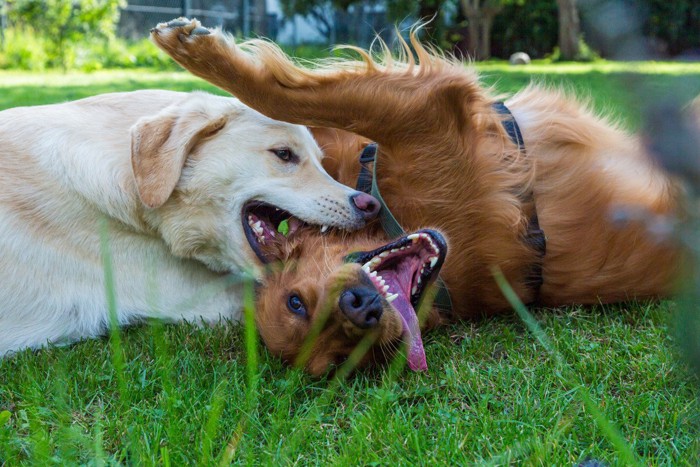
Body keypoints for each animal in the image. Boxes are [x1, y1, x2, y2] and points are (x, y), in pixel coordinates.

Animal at [152, 20, 684, 376]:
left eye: (295, 302)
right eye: (345, 358)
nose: (359, 308)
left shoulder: (416, 114)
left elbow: (286, 99)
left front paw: (197, 55)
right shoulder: (431, 115)